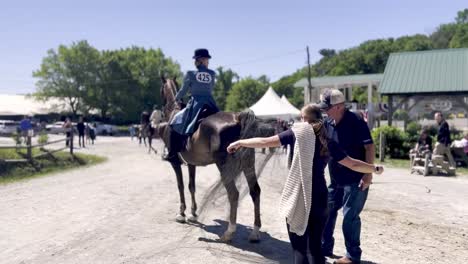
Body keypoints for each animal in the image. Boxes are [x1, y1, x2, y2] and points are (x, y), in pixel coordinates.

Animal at [157, 75, 274, 242]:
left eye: (161, 90)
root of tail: (238, 118)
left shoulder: (175, 163)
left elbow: (180, 186)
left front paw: (182, 213)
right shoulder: (191, 164)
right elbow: (191, 186)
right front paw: (193, 213)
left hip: (224, 166)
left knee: (233, 194)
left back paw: (229, 232)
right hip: (248, 164)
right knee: (255, 191)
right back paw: (255, 232)